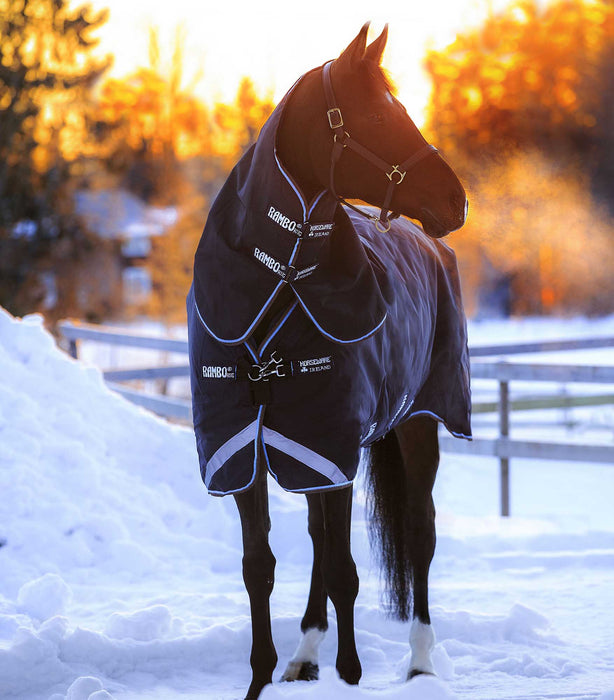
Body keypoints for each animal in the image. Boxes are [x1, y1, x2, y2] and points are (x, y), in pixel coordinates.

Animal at [187, 23, 471, 700]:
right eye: (378, 114)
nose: (457, 201)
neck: (281, 283)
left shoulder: (332, 440)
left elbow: (345, 570)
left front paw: (352, 675)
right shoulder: (250, 447)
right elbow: (260, 567)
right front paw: (263, 675)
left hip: (418, 422)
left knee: (420, 532)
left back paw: (420, 661)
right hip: (313, 453)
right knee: (321, 538)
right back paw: (305, 654)